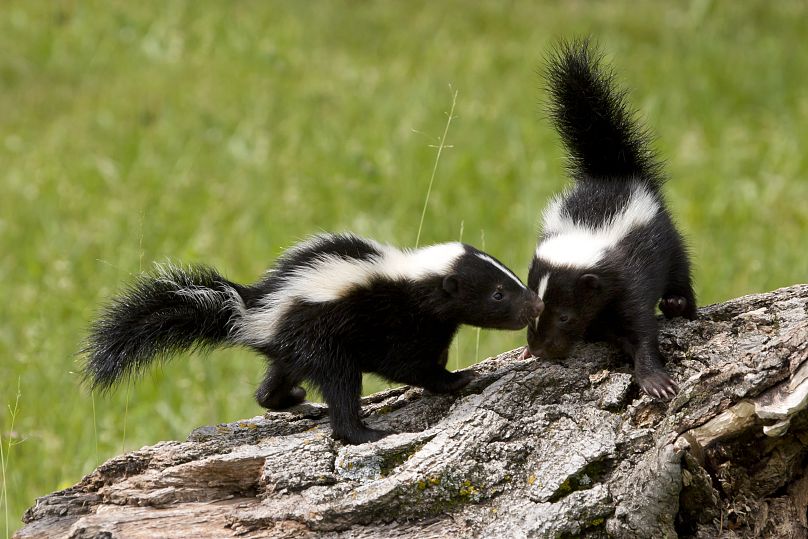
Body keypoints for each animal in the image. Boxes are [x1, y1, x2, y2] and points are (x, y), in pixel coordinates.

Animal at [83, 234, 544, 446]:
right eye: (498, 294)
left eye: (511, 279)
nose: (537, 304)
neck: (413, 279)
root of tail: (252, 311)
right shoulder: (391, 321)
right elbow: (406, 364)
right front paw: (457, 379)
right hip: (319, 339)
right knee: (340, 387)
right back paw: (362, 432)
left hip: (293, 347)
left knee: (271, 386)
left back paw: (296, 401)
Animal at [524, 39, 696, 400]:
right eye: (534, 308)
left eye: (564, 317)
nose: (539, 349)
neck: (588, 233)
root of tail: (613, 171)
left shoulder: (629, 279)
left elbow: (641, 328)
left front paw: (656, 380)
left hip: (667, 238)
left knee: (682, 272)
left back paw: (678, 304)